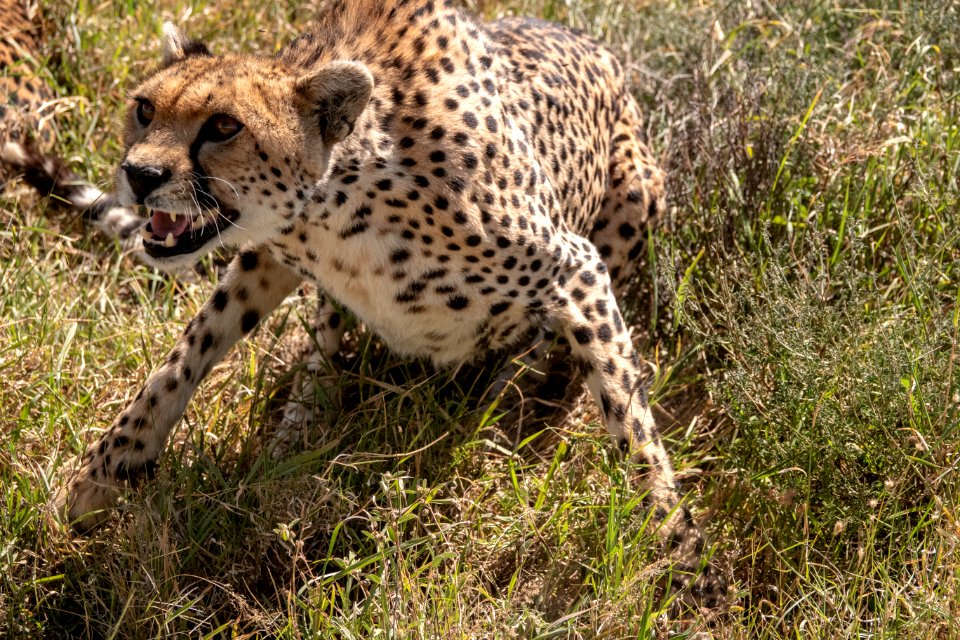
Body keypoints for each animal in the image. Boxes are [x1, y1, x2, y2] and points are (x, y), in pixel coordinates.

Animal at [56, 0, 724, 608]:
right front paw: (99, 476)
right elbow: (185, 355)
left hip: (636, 193)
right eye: (145, 110)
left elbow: (633, 425)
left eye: (223, 127)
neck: (335, 207)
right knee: (324, 341)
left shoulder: (576, 268)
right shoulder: (269, 255)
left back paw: (499, 413)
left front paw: (685, 561)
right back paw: (303, 423)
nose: (139, 175)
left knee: (540, 360)